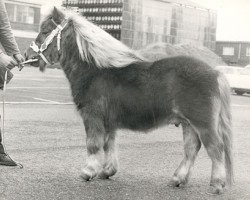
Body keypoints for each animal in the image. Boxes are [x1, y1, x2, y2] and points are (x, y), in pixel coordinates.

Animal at [24, 8, 233, 195]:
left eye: (45, 31)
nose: (27, 56)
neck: (95, 71)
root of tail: (215, 73)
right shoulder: (108, 122)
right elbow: (109, 145)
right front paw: (107, 171)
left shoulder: (92, 117)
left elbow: (93, 144)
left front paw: (88, 172)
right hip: (188, 123)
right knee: (192, 149)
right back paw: (177, 179)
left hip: (202, 123)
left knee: (215, 148)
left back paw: (217, 184)